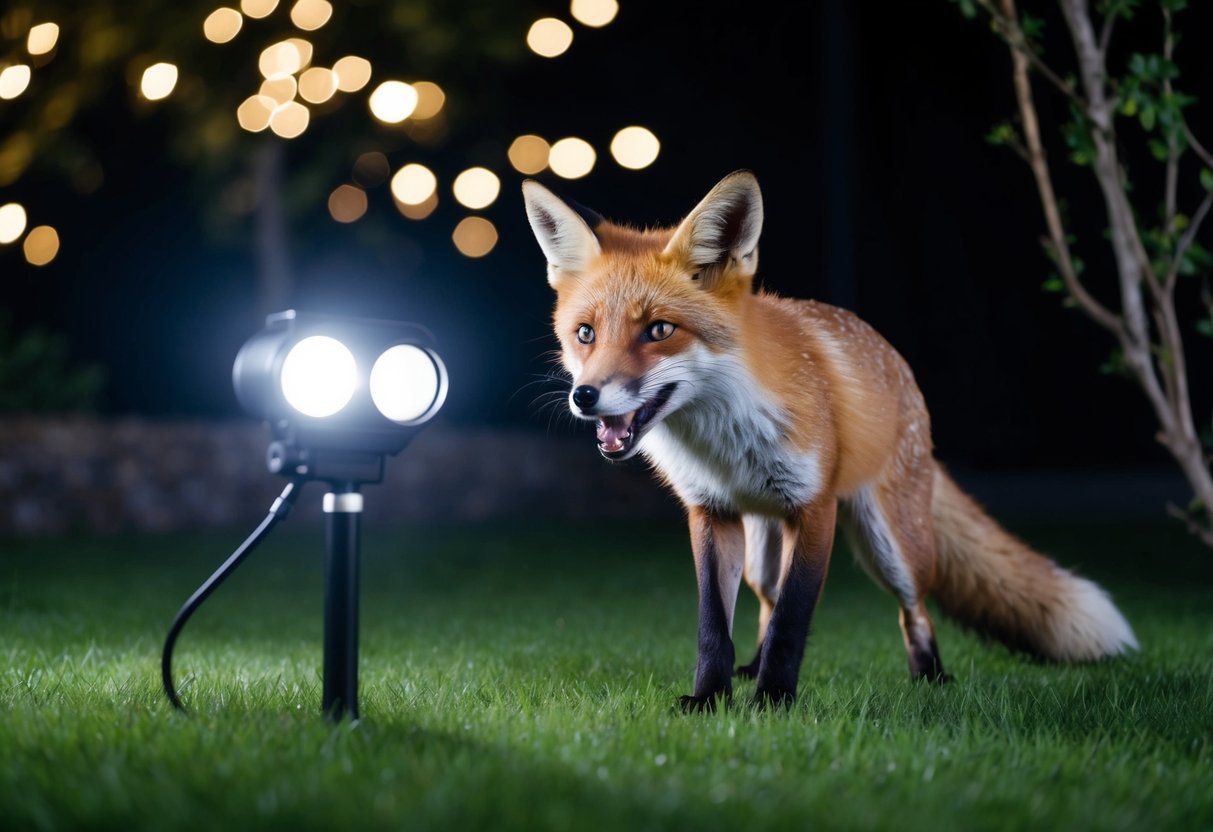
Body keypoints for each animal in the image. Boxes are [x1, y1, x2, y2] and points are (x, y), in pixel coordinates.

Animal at [522, 170, 1138, 710]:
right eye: (585, 333)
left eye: (659, 330)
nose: (585, 396)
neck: (723, 438)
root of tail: (895, 361)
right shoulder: (710, 512)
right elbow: (714, 628)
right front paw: (709, 700)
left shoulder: (814, 509)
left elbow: (794, 621)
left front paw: (773, 701)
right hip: (762, 547)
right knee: (766, 602)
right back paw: (751, 667)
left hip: (892, 546)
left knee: (914, 610)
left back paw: (930, 679)